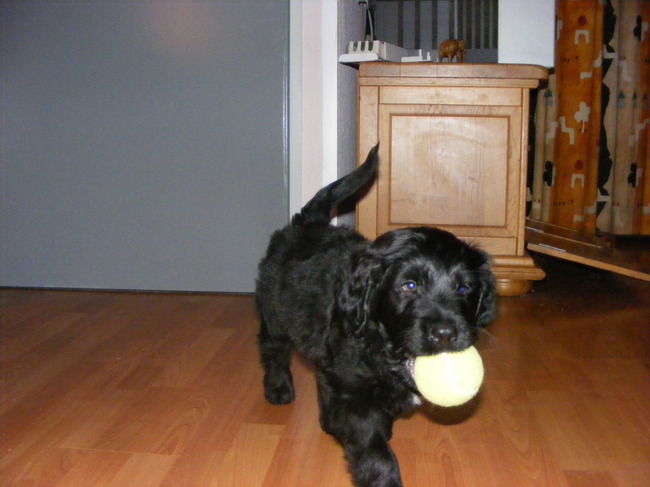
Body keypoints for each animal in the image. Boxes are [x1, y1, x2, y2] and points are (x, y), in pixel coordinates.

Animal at [255, 144, 496, 487]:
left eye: (464, 289)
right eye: (409, 285)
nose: (445, 333)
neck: (383, 347)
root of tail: (307, 222)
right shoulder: (354, 391)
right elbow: (374, 448)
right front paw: (384, 479)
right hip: (274, 311)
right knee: (272, 348)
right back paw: (278, 388)